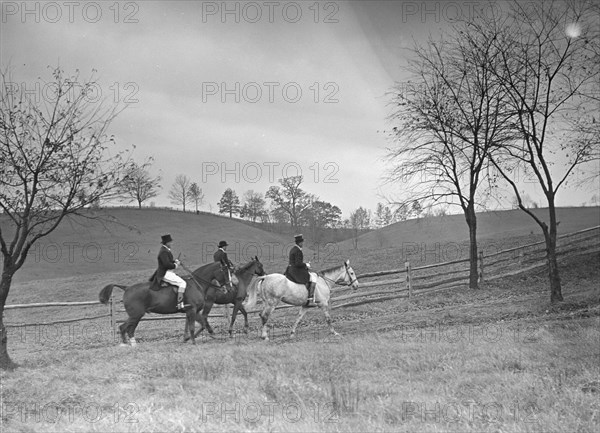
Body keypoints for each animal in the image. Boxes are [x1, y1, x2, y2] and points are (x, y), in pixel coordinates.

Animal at [98, 262, 230, 346]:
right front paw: (192, 341)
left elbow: (200, 325)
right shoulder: (192, 310)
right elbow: (193, 326)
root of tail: (127, 288)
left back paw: (132, 344)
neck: (196, 284)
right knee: (124, 327)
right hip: (136, 315)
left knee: (129, 329)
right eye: (224, 271)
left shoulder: (193, 311)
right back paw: (126, 344)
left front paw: (188, 338)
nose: (228, 288)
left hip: (136, 316)